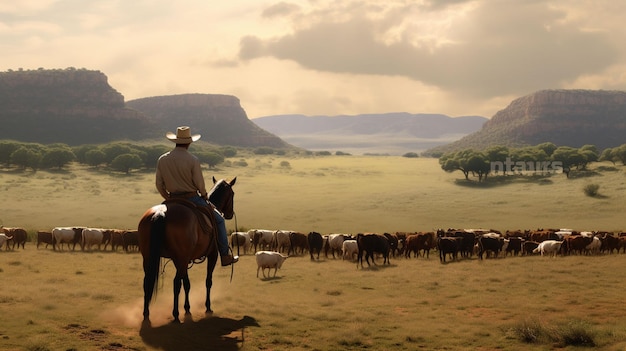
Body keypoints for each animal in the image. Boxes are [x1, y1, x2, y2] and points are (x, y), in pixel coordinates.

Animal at [138, 177, 235, 324]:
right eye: (232, 194)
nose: (230, 214)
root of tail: (161, 212)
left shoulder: (184, 259)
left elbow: (187, 283)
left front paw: (188, 309)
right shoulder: (212, 254)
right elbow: (208, 281)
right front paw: (208, 307)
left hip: (150, 258)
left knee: (147, 282)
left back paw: (146, 315)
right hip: (180, 258)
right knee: (176, 283)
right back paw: (175, 314)